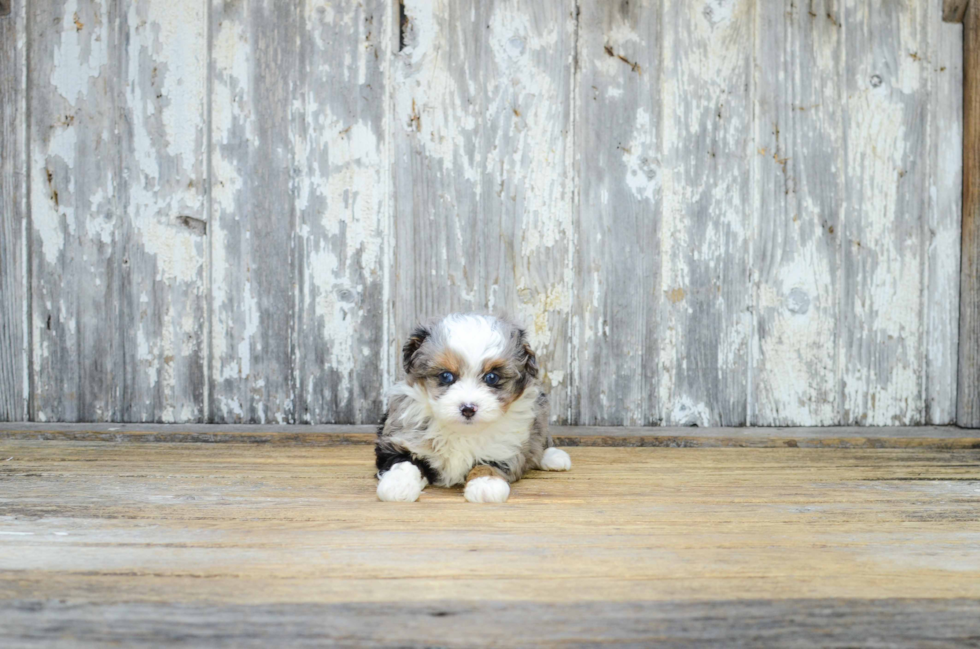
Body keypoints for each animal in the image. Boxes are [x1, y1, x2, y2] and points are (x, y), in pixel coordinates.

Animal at [378, 312, 576, 502]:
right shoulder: (401, 437)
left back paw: (554, 457)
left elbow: (488, 464)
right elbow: (404, 462)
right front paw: (397, 485)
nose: (468, 409)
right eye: (446, 376)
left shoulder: (507, 447)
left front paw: (486, 484)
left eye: (492, 377)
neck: (463, 431)